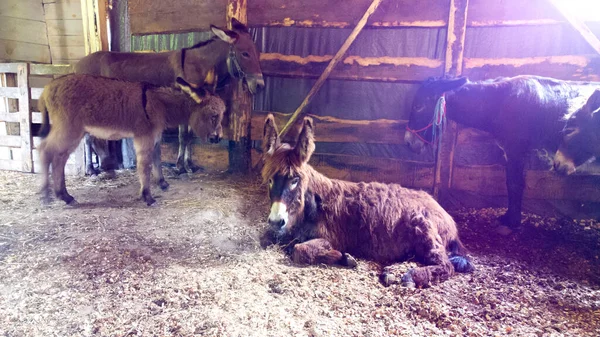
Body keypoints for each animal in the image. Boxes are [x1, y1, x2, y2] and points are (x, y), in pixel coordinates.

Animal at [38, 74, 225, 205]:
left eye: (222, 114)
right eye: (214, 115)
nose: (218, 139)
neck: (160, 104)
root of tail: (47, 88)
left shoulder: (155, 137)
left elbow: (157, 161)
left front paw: (162, 183)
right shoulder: (144, 137)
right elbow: (145, 166)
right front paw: (147, 196)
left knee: (58, 158)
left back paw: (64, 196)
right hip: (69, 130)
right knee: (46, 151)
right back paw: (47, 195)